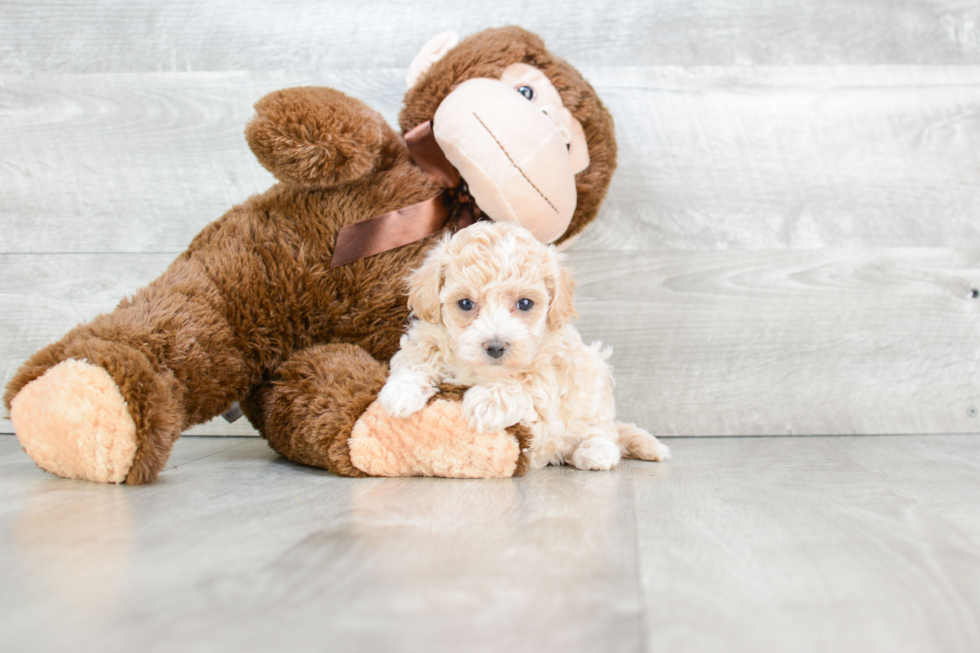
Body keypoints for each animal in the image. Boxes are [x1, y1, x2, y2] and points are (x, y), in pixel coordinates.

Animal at [378, 222, 668, 472]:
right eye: (465, 304)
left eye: (525, 304)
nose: (495, 347)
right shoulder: (429, 336)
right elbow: (417, 359)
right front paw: (401, 392)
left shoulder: (550, 383)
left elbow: (525, 388)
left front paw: (489, 401)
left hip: (596, 388)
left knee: (602, 430)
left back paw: (595, 451)